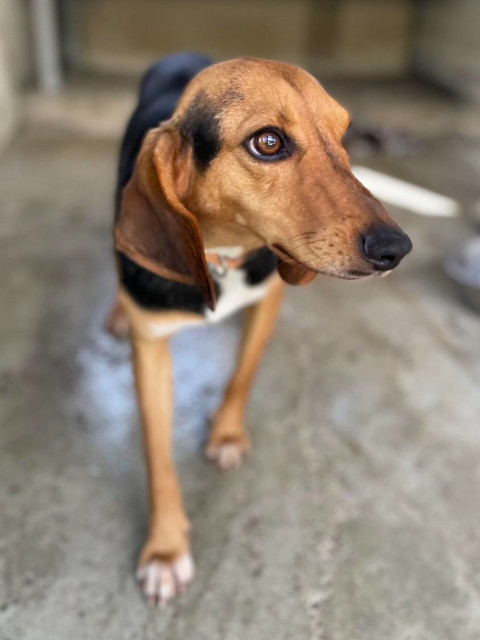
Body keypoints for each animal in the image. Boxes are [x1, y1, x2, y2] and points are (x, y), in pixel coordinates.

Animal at [108, 53, 412, 605]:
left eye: (345, 135)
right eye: (267, 143)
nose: (397, 249)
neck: (220, 254)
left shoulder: (268, 301)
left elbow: (242, 376)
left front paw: (226, 433)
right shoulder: (152, 349)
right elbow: (158, 459)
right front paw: (164, 550)